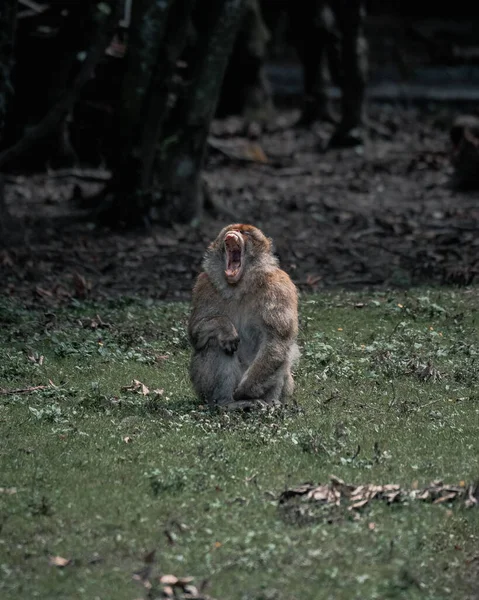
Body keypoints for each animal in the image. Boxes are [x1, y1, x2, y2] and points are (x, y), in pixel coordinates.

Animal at [188, 223, 298, 410]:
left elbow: (277, 339)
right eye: (229, 231)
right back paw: (226, 403)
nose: (232, 234)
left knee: (282, 355)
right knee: (215, 343)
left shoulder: (279, 288)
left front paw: (247, 389)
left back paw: (270, 403)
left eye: (244, 232)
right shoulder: (205, 285)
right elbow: (195, 333)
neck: (239, 287)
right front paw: (225, 328)